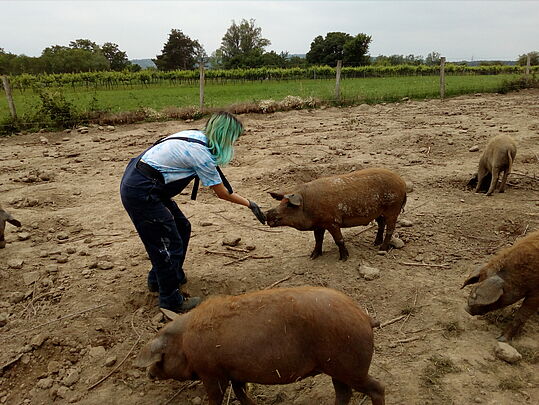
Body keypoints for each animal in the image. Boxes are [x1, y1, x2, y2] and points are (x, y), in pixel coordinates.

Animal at [137, 286, 386, 402]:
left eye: (161, 357)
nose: (148, 373)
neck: (184, 342)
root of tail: (364, 316)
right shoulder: (235, 372)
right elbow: (241, 394)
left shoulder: (212, 374)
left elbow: (217, 397)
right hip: (336, 367)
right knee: (343, 393)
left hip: (349, 366)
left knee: (377, 387)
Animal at [264, 166, 408, 258]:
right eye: (280, 203)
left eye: (289, 205)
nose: (266, 214)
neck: (308, 205)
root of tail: (402, 183)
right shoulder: (319, 225)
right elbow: (318, 239)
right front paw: (313, 256)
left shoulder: (332, 222)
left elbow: (339, 239)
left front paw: (344, 258)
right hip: (379, 211)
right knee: (381, 224)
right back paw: (375, 243)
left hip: (393, 208)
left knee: (390, 228)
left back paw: (382, 248)